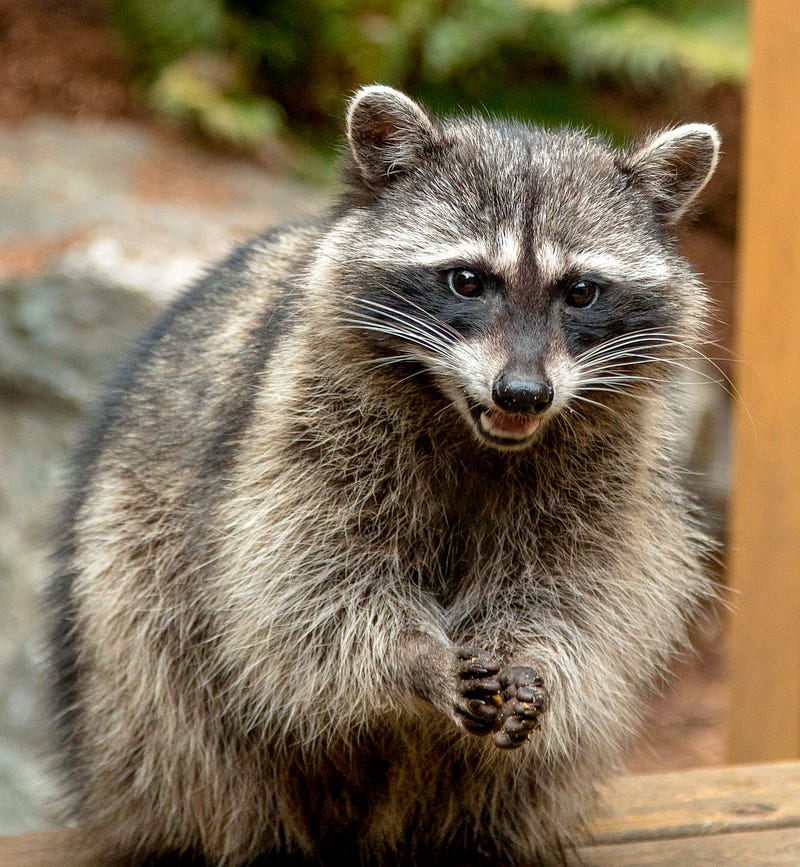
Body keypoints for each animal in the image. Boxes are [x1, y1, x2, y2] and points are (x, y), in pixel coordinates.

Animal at [45, 85, 720, 864]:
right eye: (467, 280)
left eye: (580, 291)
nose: (524, 393)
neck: (473, 427)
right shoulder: (301, 430)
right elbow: (309, 588)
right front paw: (415, 658)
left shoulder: (605, 466)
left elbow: (572, 590)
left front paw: (530, 655)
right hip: (125, 624)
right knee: (179, 718)